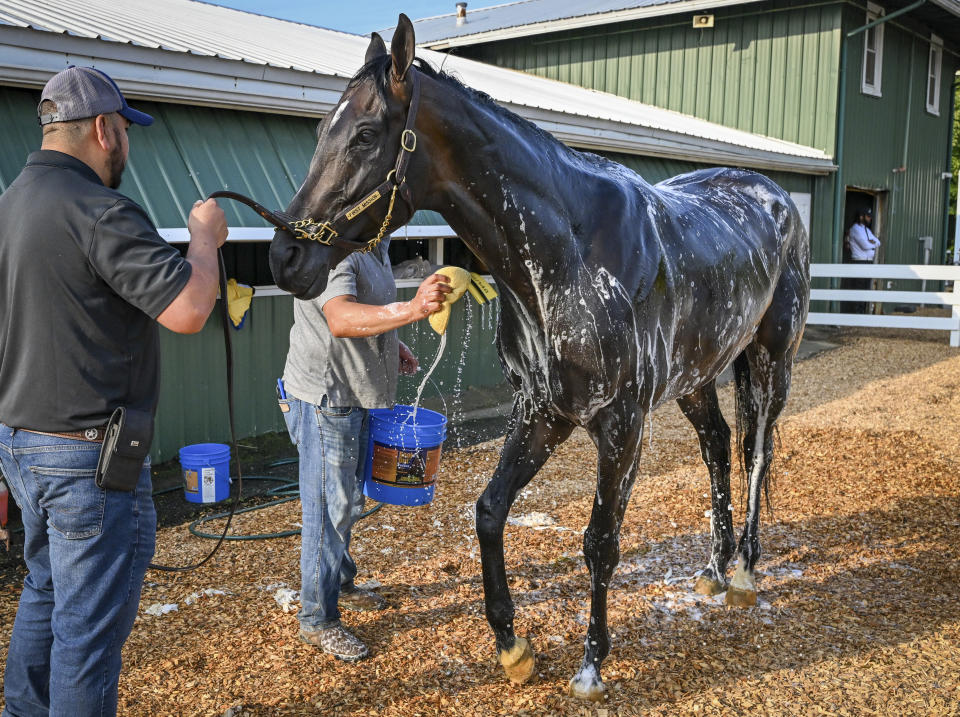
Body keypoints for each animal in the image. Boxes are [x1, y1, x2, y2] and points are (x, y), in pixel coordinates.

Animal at [268, 15, 808, 700]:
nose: (285, 257)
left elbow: (600, 541)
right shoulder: (541, 411)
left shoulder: (621, 425)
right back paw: (714, 567)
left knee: (757, 453)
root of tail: (771, 195)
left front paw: (592, 664)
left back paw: (744, 570)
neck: (570, 252)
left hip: (770, 362)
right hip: (696, 377)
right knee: (716, 447)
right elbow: (489, 511)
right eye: (321, 132)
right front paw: (511, 646)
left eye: (365, 135)